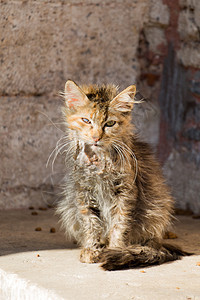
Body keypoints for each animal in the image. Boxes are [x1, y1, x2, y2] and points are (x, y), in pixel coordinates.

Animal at [56, 80, 189, 272]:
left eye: (110, 123)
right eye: (86, 120)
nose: (96, 137)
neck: (99, 163)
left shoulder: (125, 194)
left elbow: (119, 226)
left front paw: (115, 249)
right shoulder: (84, 194)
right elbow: (92, 225)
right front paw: (93, 249)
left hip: (156, 212)